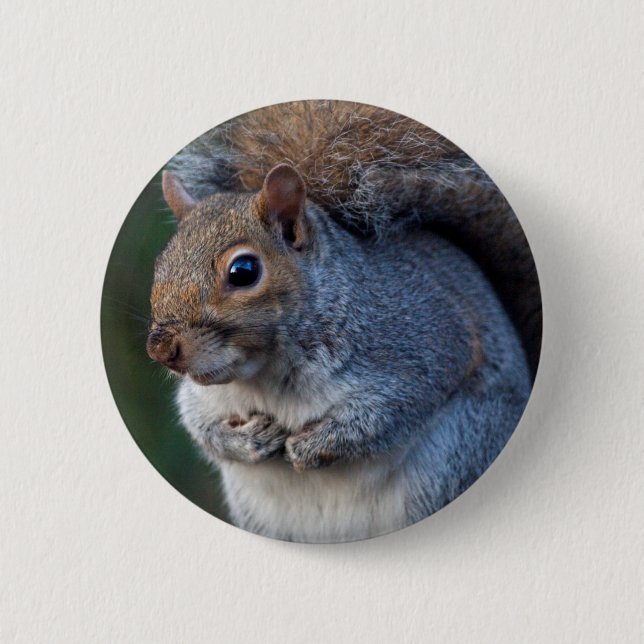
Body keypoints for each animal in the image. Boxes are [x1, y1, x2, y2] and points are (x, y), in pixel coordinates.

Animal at [146, 100, 540, 542]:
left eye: (243, 271)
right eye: (161, 262)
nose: (161, 348)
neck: (267, 375)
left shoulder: (426, 341)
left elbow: (393, 410)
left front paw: (312, 446)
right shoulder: (204, 397)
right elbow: (198, 423)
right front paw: (247, 441)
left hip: (457, 453)